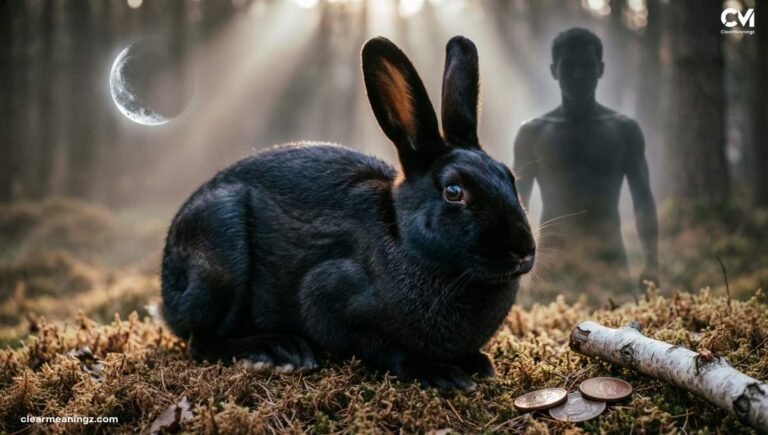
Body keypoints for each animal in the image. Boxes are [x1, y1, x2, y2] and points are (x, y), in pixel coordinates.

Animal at [161, 35, 536, 392]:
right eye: (454, 192)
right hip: (221, 249)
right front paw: (439, 373)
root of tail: (167, 292)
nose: (523, 251)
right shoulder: (328, 300)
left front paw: (479, 363)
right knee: (202, 340)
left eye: (509, 177)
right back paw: (278, 349)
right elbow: (382, 348)